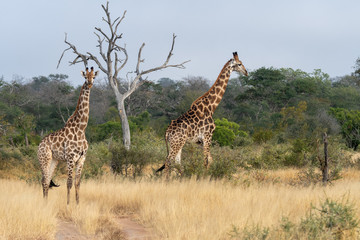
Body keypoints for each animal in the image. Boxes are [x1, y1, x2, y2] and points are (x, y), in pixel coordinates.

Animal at [37, 66, 98, 203]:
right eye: (85, 76)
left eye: (94, 76)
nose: (90, 83)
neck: (81, 128)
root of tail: (40, 144)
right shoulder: (70, 158)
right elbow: (69, 183)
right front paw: (68, 204)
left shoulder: (81, 159)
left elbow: (77, 183)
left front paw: (77, 204)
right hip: (44, 158)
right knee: (44, 180)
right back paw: (44, 203)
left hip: (54, 160)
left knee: (47, 180)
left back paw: (46, 203)